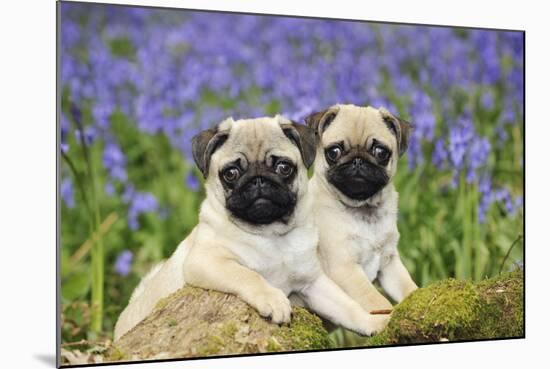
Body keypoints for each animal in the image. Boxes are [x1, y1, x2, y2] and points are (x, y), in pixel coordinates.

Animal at [113, 114, 388, 340]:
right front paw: (273, 299)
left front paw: (374, 322)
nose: (258, 180)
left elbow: (348, 306)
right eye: (231, 173)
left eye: (283, 167)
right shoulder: (206, 261)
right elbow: (248, 275)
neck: (271, 234)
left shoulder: (313, 283)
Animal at [306, 103, 418, 314]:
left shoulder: (389, 264)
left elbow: (408, 287)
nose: (358, 160)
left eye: (380, 152)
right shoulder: (346, 268)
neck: (365, 209)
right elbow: (376, 301)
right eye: (334, 152)